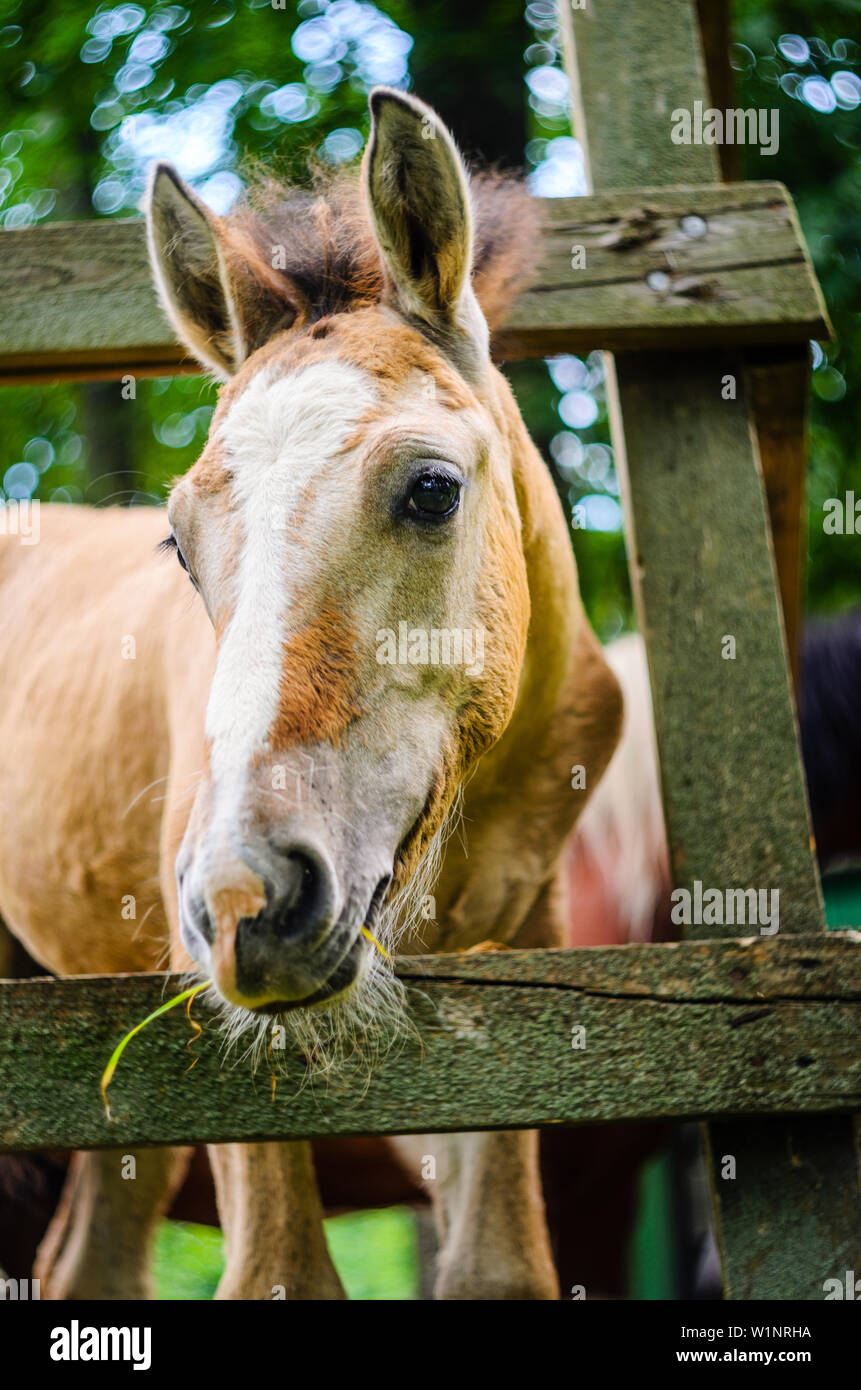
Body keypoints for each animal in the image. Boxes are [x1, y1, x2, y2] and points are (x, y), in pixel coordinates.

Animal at [0, 87, 623, 1300]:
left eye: (432, 490)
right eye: (179, 542)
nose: (250, 899)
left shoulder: (524, 956)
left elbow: (495, 1266)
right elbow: (278, 1269)